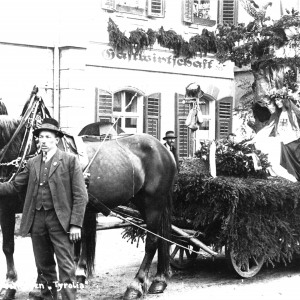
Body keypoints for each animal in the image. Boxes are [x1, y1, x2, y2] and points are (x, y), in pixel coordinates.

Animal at [0, 96, 176, 298]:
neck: (27, 149)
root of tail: (164, 149)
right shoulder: (7, 207)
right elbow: (10, 247)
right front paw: (12, 285)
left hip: (154, 202)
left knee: (152, 241)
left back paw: (136, 285)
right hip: (143, 202)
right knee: (161, 237)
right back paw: (159, 280)